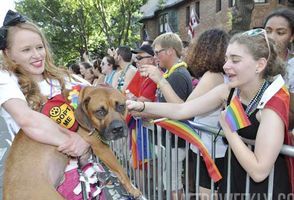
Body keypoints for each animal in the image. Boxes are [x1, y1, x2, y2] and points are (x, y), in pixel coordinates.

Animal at [2, 86, 141, 200]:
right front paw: (132, 189)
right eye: (100, 112)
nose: (118, 129)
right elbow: (121, 170)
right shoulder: (101, 147)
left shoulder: (85, 155)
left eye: (121, 106)